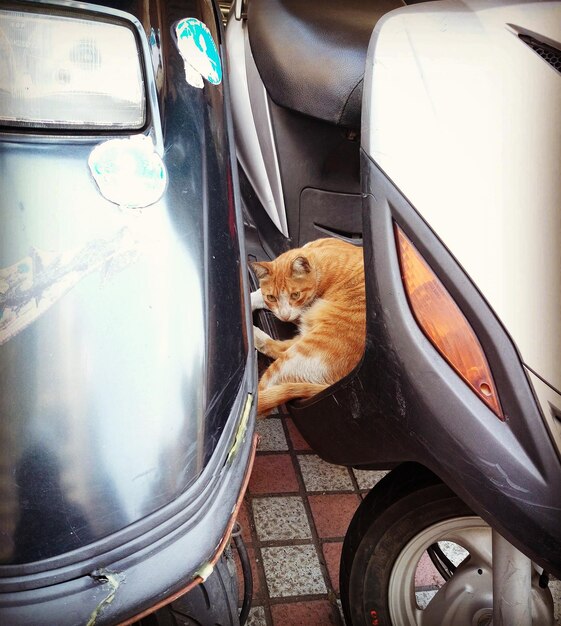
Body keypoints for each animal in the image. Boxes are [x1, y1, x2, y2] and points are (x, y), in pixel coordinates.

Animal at [250, 236, 366, 416]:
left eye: (295, 295)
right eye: (272, 297)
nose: (284, 316)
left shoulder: (299, 313)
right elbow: (257, 296)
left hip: (304, 349)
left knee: (263, 397)